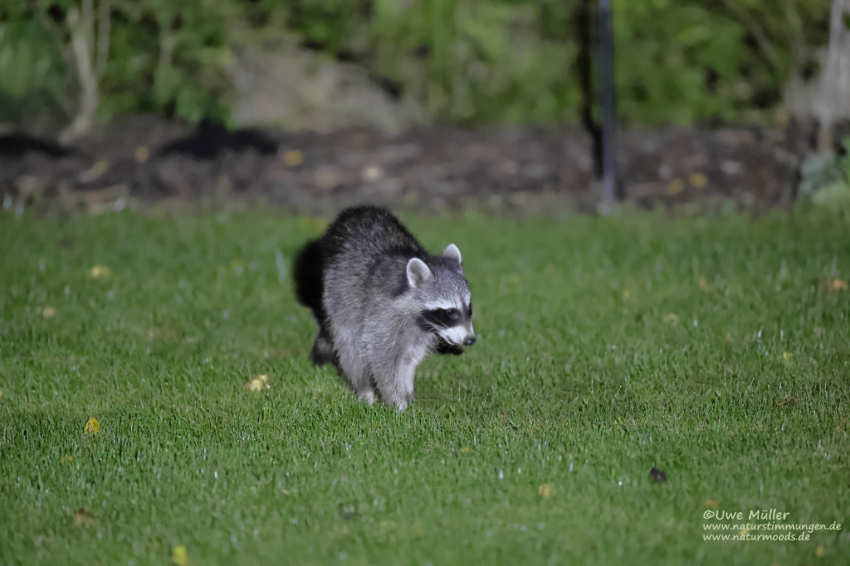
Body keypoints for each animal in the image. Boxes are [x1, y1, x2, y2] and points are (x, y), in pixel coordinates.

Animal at [294, 206, 474, 410]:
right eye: (450, 312)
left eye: (469, 308)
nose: (470, 340)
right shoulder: (382, 315)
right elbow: (381, 359)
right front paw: (396, 401)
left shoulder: (422, 328)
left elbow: (409, 359)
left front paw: (407, 389)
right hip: (337, 296)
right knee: (350, 346)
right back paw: (364, 389)